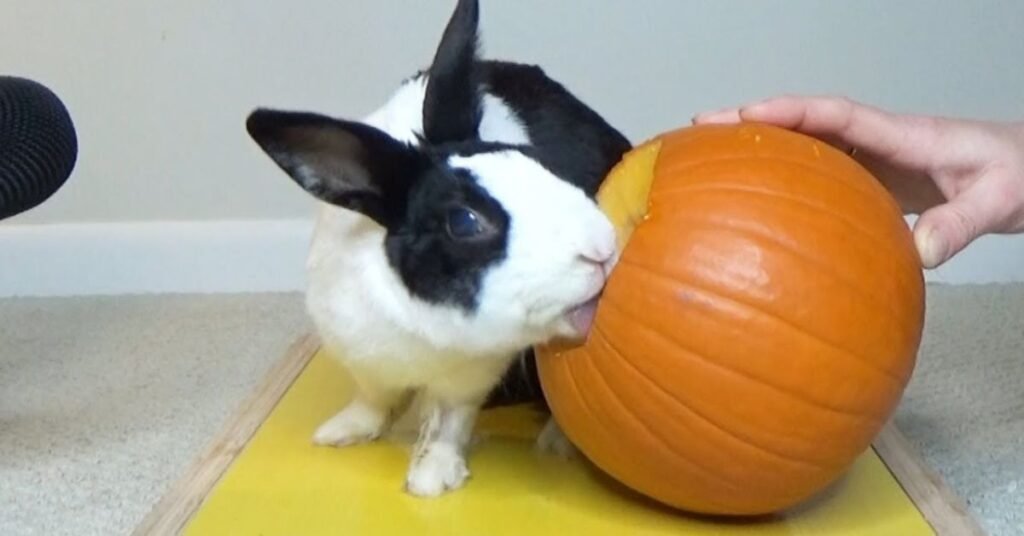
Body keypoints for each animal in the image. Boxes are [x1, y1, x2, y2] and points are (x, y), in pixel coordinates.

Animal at [245, 0, 632, 497]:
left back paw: (555, 442)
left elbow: (449, 421)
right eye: (464, 222)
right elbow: (373, 399)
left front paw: (432, 478)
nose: (601, 248)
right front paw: (342, 432)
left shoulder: (467, 377)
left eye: (543, 167)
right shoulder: (363, 356)